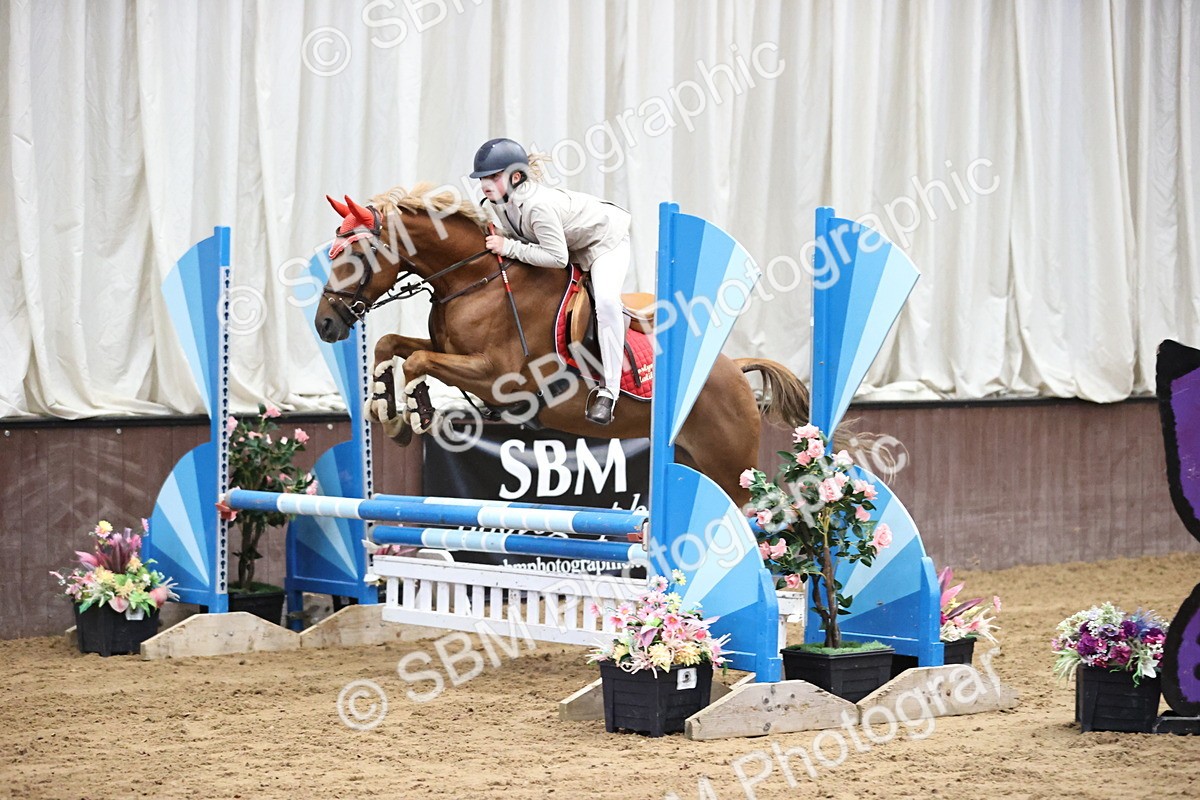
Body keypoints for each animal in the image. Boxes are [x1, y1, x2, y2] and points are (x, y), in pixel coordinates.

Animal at [313, 184, 810, 505]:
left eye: (356, 254)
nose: (325, 324)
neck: (475, 280)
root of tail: (734, 369)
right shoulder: (450, 350)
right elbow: (391, 345)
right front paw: (391, 411)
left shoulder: (499, 377)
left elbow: (416, 360)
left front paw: (411, 415)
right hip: (695, 461)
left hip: (731, 471)